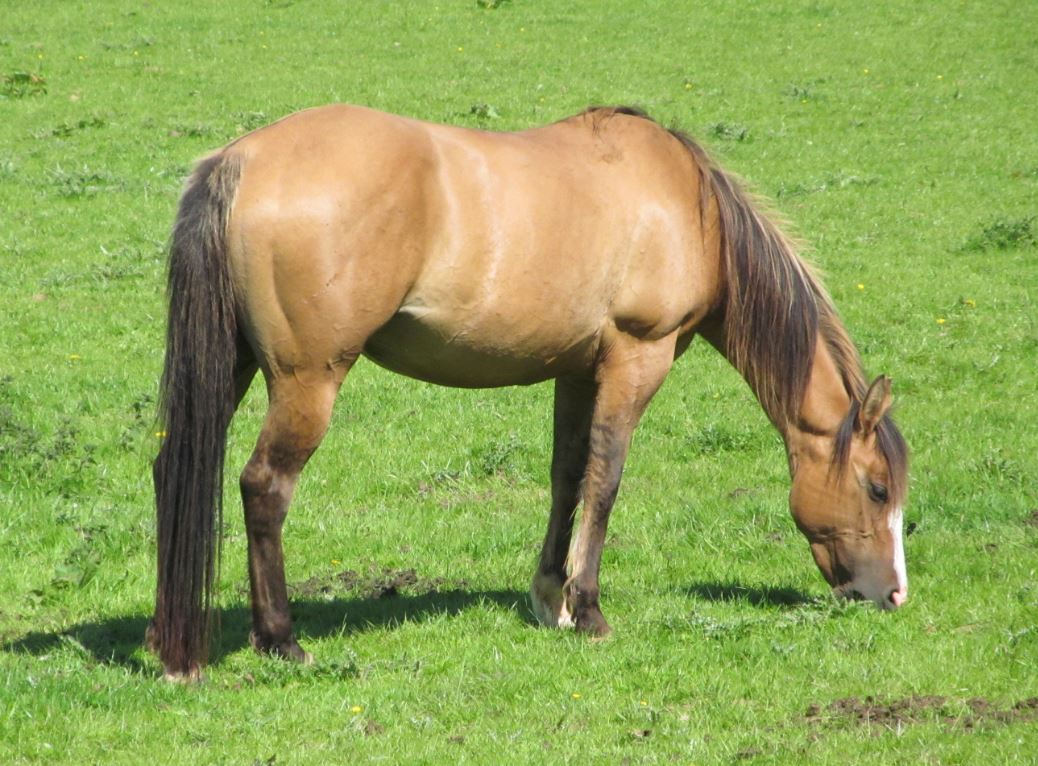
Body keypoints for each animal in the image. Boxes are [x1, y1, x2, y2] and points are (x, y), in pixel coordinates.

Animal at [148, 105, 909, 680]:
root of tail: (241, 160)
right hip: (308, 381)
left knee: (172, 471)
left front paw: (553, 598)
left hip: (233, 364)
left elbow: (567, 474)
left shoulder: (577, 368)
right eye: (877, 489)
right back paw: (279, 639)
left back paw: (166, 637)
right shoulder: (637, 357)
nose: (893, 594)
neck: (689, 208)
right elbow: (606, 478)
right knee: (265, 486)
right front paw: (590, 609)